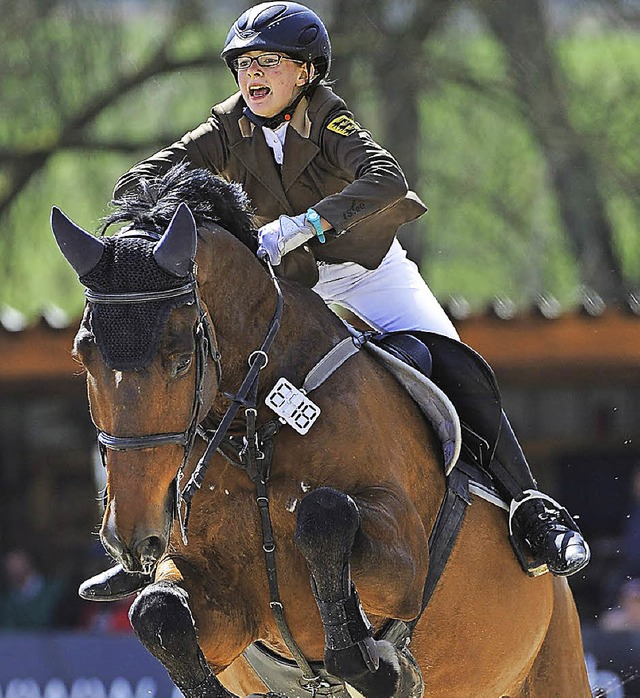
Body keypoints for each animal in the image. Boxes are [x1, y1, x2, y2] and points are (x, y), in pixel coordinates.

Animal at [50, 164, 592, 696]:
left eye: (181, 357)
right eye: (83, 356)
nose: (132, 536)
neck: (254, 430)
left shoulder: (405, 563)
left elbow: (324, 514)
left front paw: (382, 667)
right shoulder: (223, 607)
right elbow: (158, 613)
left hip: (556, 659)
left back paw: (548, 531)